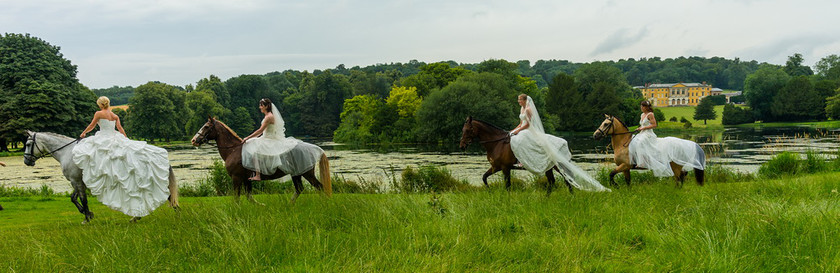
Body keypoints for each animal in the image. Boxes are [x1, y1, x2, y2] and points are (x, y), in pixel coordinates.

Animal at [23, 131, 180, 222]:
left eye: (28, 144)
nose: (26, 161)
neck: (67, 152)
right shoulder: (78, 181)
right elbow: (73, 198)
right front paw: (88, 214)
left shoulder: (75, 181)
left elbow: (82, 199)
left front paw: (87, 218)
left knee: (165, 195)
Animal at [192, 116, 334, 203]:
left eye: (206, 126)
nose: (194, 140)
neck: (233, 150)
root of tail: (313, 148)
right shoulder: (246, 179)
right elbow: (249, 197)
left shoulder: (236, 178)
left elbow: (237, 198)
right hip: (296, 174)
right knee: (300, 189)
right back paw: (289, 205)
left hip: (306, 173)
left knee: (320, 187)